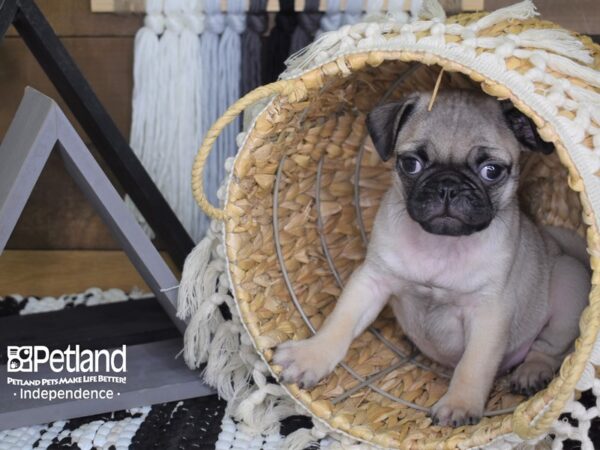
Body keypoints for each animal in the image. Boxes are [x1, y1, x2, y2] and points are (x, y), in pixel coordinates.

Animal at [274, 89, 592, 428]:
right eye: (411, 164)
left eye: (491, 171)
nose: (448, 186)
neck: (441, 244)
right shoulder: (370, 282)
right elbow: (340, 321)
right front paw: (311, 355)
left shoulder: (489, 312)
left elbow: (474, 364)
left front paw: (459, 404)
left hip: (568, 282)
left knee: (549, 349)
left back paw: (532, 372)